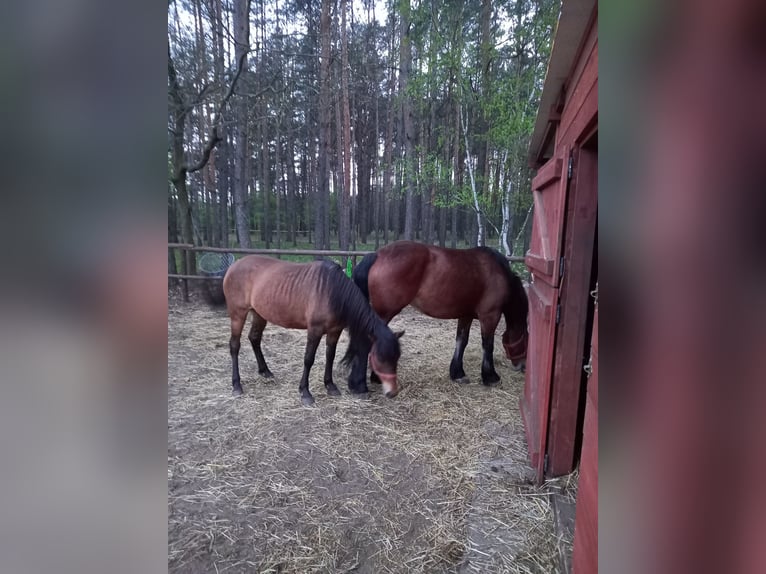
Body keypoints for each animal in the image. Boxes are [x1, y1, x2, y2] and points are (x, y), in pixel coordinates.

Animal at [210, 256, 402, 404]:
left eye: (396, 358)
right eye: (379, 358)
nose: (393, 392)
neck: (333, 291)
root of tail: (233, 266)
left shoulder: (335, 331)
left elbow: (330, 356)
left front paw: (330, 385)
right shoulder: (314, 331)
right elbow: (308, 359)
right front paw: (305, 392)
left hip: (259, 314)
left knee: (254, 338)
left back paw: (265, 371)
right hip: (238, 315)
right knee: (235, 346)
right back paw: (237, 385)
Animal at [346, 241, 528, 390]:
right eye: (526, 339)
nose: (523, 366)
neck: (498, 273)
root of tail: (378, 255)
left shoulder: (466, 315)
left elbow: (461, 341)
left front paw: (457, 373)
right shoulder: (490, 316)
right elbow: (488, 345)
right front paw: (490, 377)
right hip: (384, 314)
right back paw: (362, 384)